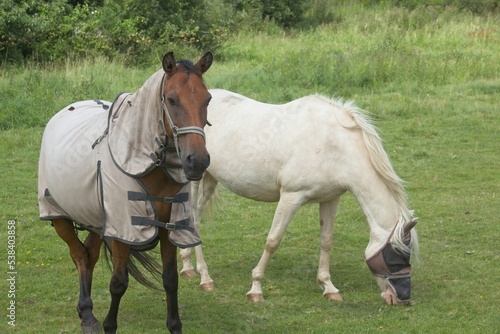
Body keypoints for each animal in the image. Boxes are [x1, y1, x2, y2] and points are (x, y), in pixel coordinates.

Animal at [37, 51, 213, 332]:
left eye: (207, 99)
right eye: (172, 99)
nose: (197, 161)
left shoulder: (169, 226)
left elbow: (170, 279)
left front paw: (174, 325)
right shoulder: (123, 230)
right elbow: (119, 282)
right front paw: (109, 325)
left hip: (97, 220)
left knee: (89, 255)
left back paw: (85, 310)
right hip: (59, 215)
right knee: (79, 255)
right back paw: (88, 315)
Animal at [179, 89, 418, 306]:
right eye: (395, 257)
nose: (403, 297)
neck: (333, 145)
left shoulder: (330, 199)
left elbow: (326, 240)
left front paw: (328, 286)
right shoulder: (291, 197)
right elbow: (273, 241)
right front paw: (256, 288)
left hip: (211, 179)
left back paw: (188, 267)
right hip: (195, 178)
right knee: (194, 217)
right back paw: (204, 277)